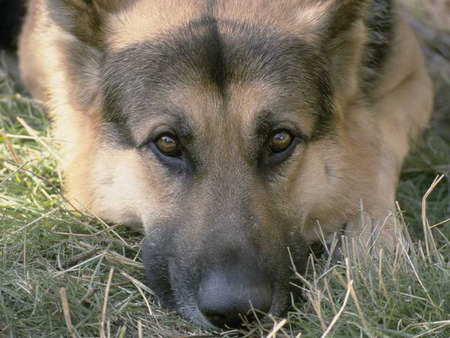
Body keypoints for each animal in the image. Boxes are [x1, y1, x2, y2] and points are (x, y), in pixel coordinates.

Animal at [17, 0, 432, 328]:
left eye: (280, 139)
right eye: (167, 143)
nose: (236, 311)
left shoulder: (411, 79)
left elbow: (374, 148)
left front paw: (376, 248)